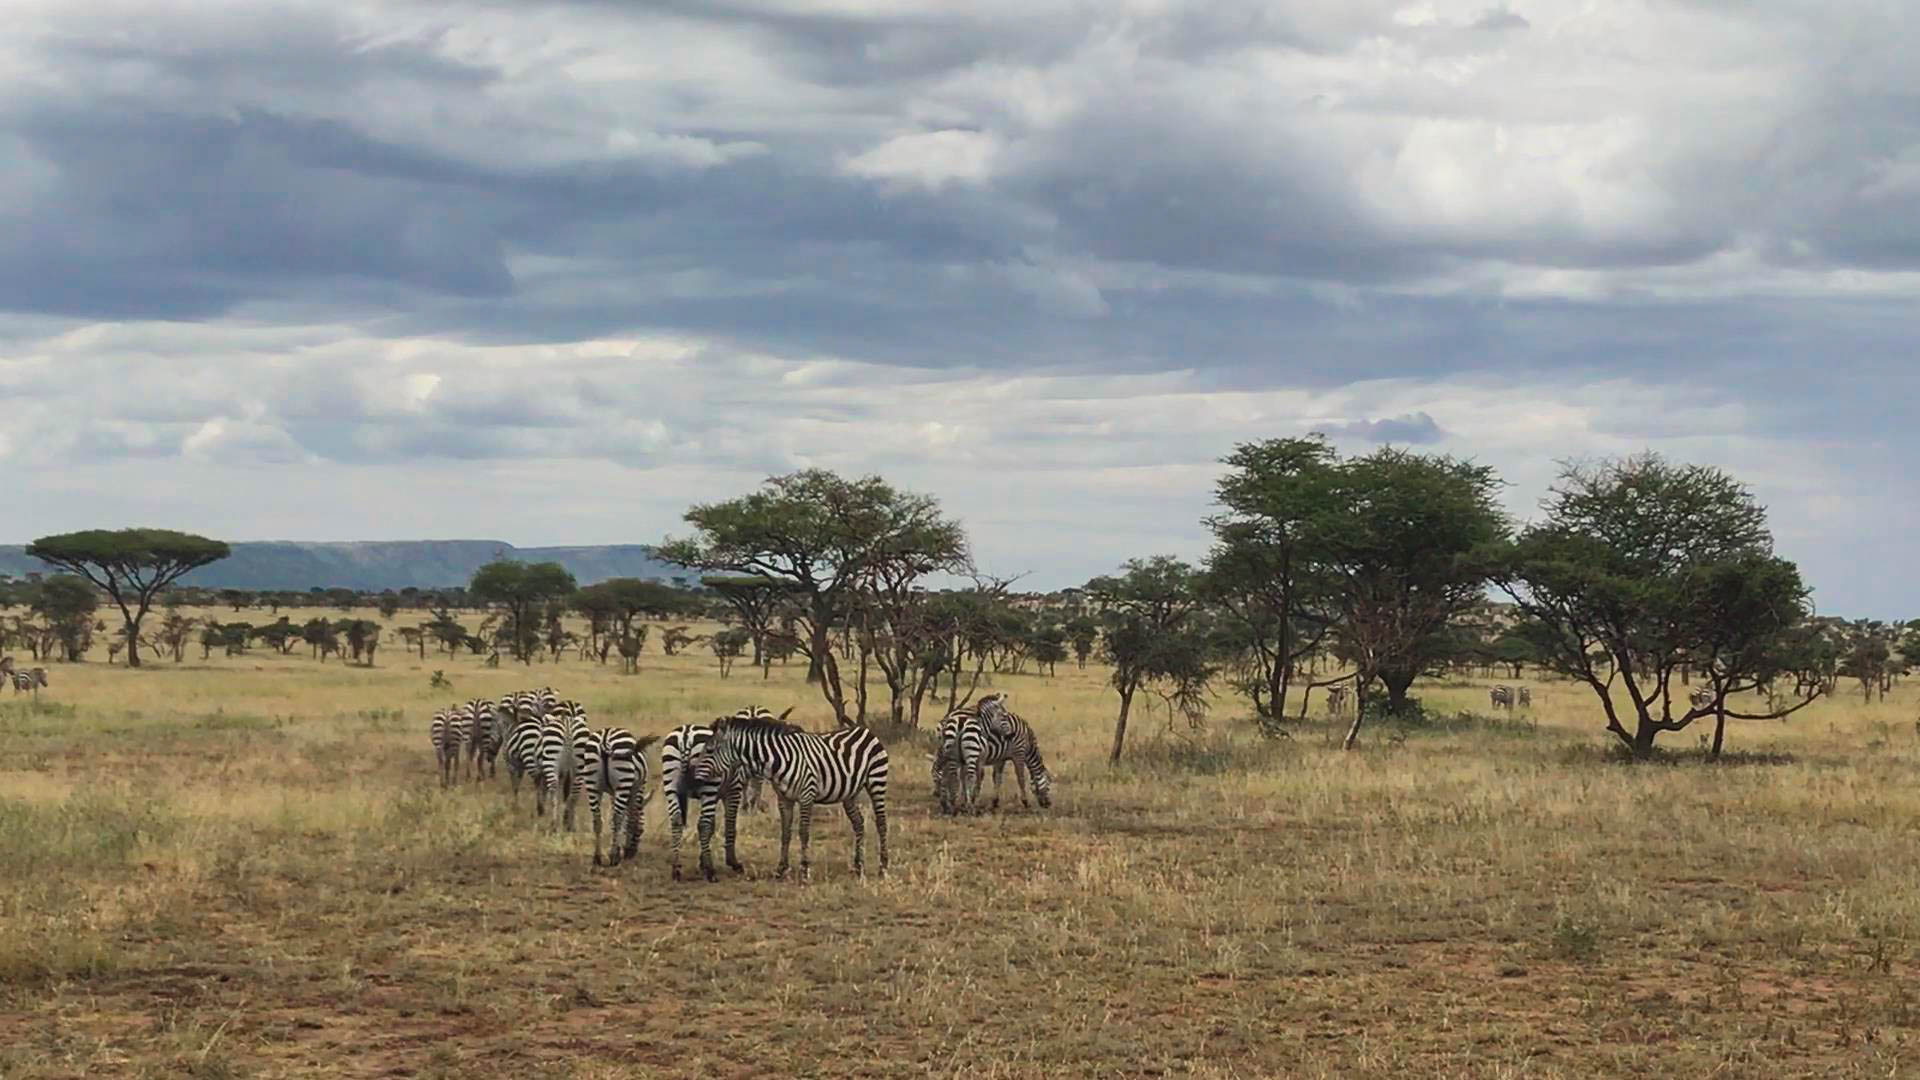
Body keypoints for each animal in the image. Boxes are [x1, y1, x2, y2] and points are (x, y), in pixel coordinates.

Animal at [656, 703, 783, 880]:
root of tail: (686, 735)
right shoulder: (733, 789)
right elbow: (728, 824)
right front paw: (732, 863)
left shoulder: (715, 795)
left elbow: (711, 826)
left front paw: (702, 861)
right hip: (709, 784)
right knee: (703, 823)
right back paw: (711, 872)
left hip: (670, 781)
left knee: (676, 820)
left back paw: (676, 868)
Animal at [687, 711, 887, 880]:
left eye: (710, 750)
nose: (694, 778)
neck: (780, 760)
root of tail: (864, 730)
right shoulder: (784, 799)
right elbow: (785, 832)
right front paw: (781, 868)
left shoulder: (807, 795)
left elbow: (804, 833)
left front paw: (804, 870)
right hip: (849, 794)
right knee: (859, 823)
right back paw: (858, 866)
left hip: (877, 782)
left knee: (881, 823)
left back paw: (883, 867)